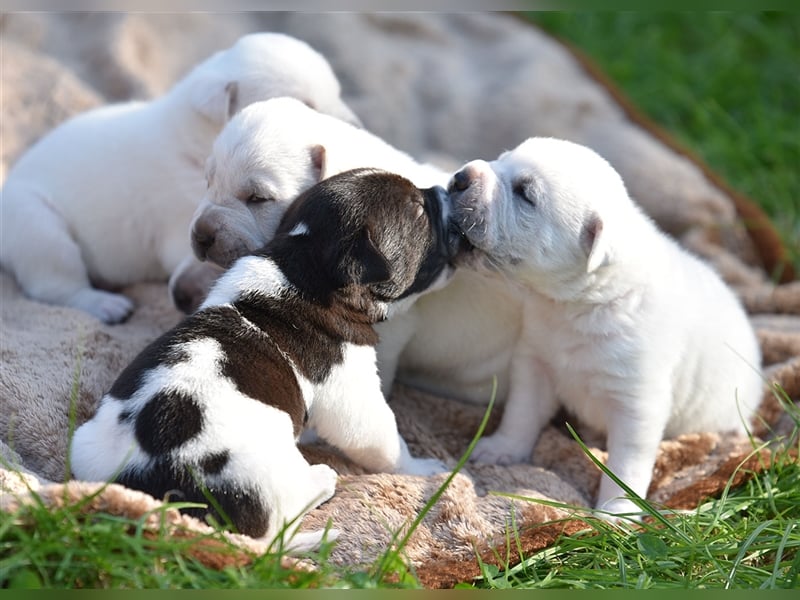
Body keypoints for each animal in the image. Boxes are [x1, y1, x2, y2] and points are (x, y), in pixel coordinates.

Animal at [0, 32, 358, 324]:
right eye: (304, 105)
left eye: (338, 92)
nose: (357, 125)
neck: (196, 137)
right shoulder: (178, 220)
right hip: (36, 225)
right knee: (54, 281)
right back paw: (104, 303)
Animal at [72, 169, 460, 548]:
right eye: (419, 212)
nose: (444, 191)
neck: (306, 264)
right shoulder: (353, 396)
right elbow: (386, 441)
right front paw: (425, 469)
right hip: (264, 472)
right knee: (278, 526)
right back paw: (320, 480)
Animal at [446, 135, 764, 516]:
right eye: (502, 158)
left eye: (525, 194)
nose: (460, 177)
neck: (575, 305)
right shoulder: (536, 362)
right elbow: (522, 411)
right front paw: (502, 448)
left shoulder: (637, 399)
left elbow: (627, 462)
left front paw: (616, 513)